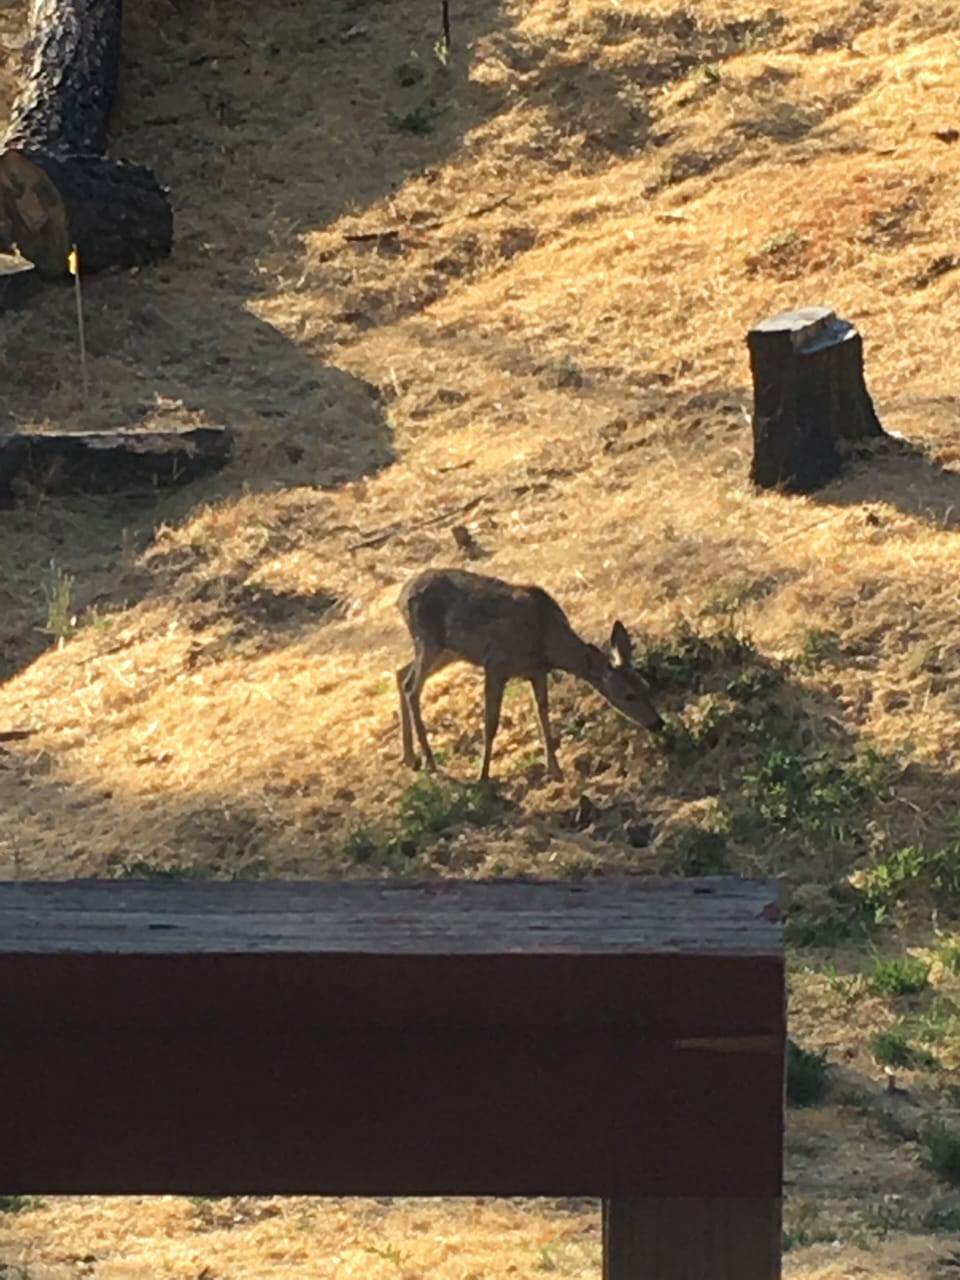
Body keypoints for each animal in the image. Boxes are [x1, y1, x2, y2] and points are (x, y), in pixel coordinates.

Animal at [396, 568, 663, 783]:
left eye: (646, 686)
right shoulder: (496, 665)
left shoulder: (537, 672)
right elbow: (491, 723)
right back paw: (429, 760)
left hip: (449, 650)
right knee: (412, 686)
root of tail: (401, 595)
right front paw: (483, 777)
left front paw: (555, 771)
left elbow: (543, 715)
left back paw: (411, 758)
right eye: (628, 695)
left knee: (401, 673)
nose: (658, 723)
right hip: (429, 639)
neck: (546, 642)